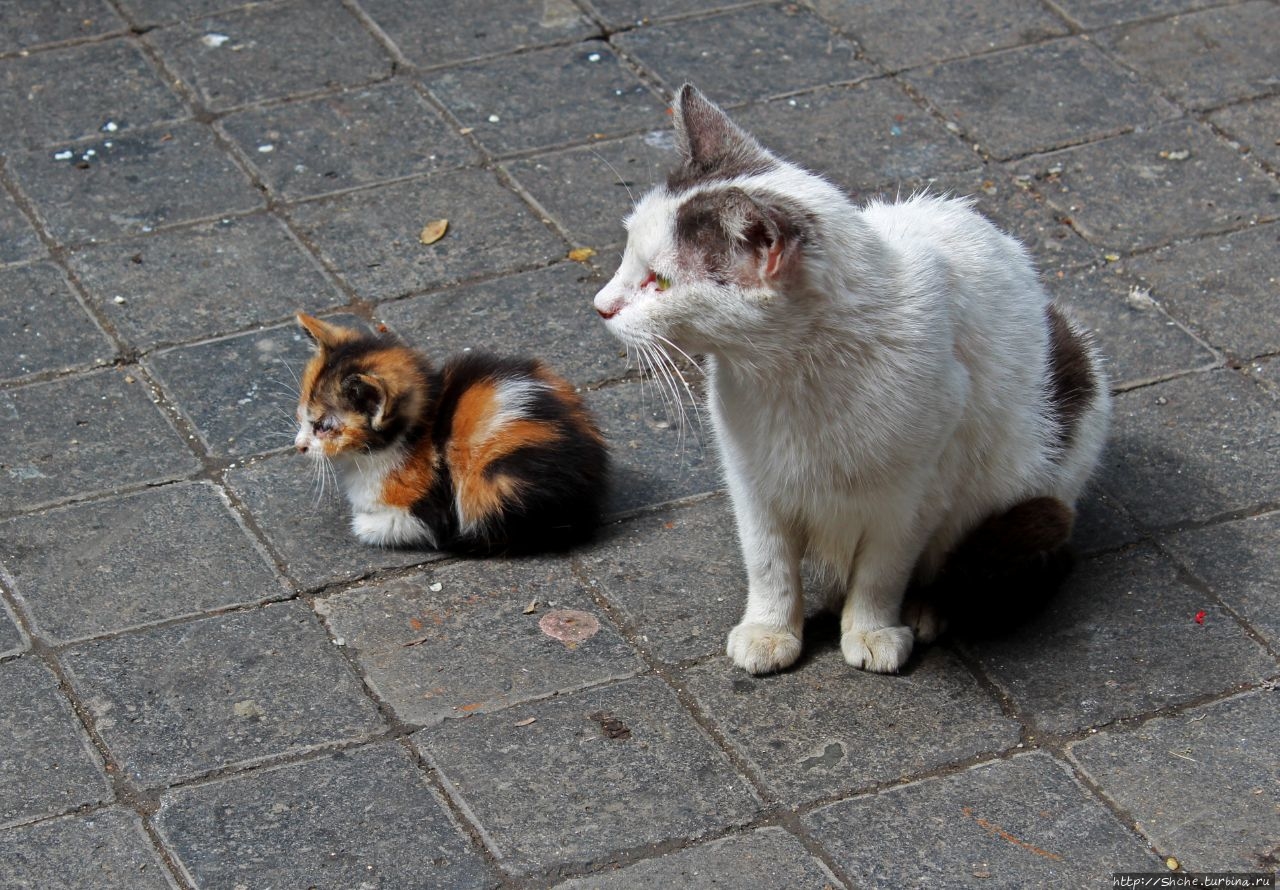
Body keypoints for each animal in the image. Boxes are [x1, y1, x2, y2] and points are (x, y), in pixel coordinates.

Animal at [294, 309, 609, 553]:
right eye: (303, 416)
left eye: (324, 427)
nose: (299, 446)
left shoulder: (430, 508)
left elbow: (394, 526)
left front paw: (364, 523)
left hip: (496, 481)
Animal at [593, 89, 1105, 676]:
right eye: (628, 255)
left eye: (661, 281)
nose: (600, 306)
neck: (793, 377)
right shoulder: (750, 477)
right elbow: (768, 561)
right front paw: (770, 629)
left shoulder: (913, 493)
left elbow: (883, 569)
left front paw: (873, 628)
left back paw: (928, 606)